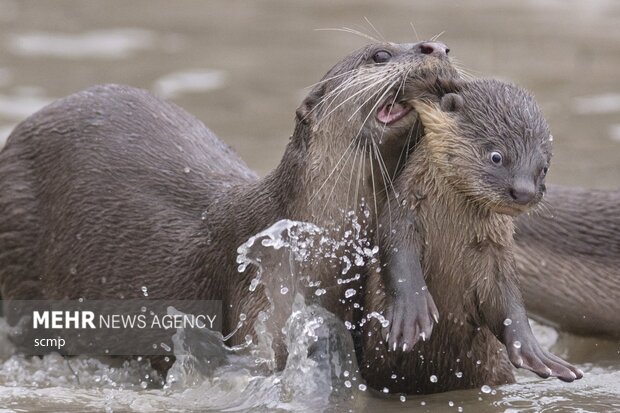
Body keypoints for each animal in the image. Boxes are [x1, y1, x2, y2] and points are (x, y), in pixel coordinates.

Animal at [360, 77, 584, 392]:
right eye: (497, 156)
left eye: (543, 168)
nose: (524, 192)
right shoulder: (403, 213)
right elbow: (397, 254)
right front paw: (412, 313)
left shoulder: (495, 250)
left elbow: (508, 299)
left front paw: (534, 351)